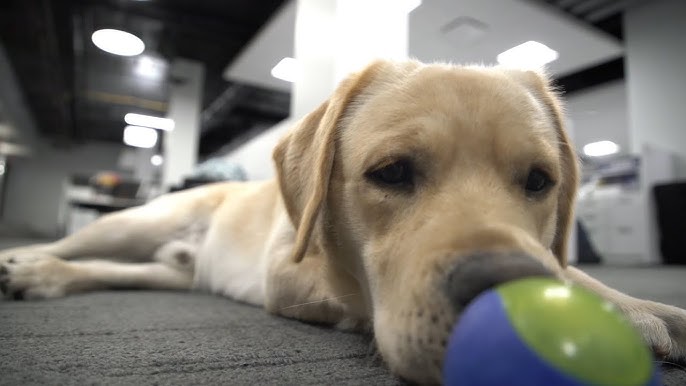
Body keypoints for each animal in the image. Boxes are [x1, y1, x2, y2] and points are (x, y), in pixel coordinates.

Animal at [1, 60, 686, 382]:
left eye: (540, 181)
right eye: (391, 172)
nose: (508, 296)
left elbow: (570, 269)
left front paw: (642, 306)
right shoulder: (288, 274)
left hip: (172, 274)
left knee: (106, 270)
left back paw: (43, 276)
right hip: (130, 225)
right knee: (78, 243)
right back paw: (25, 260)